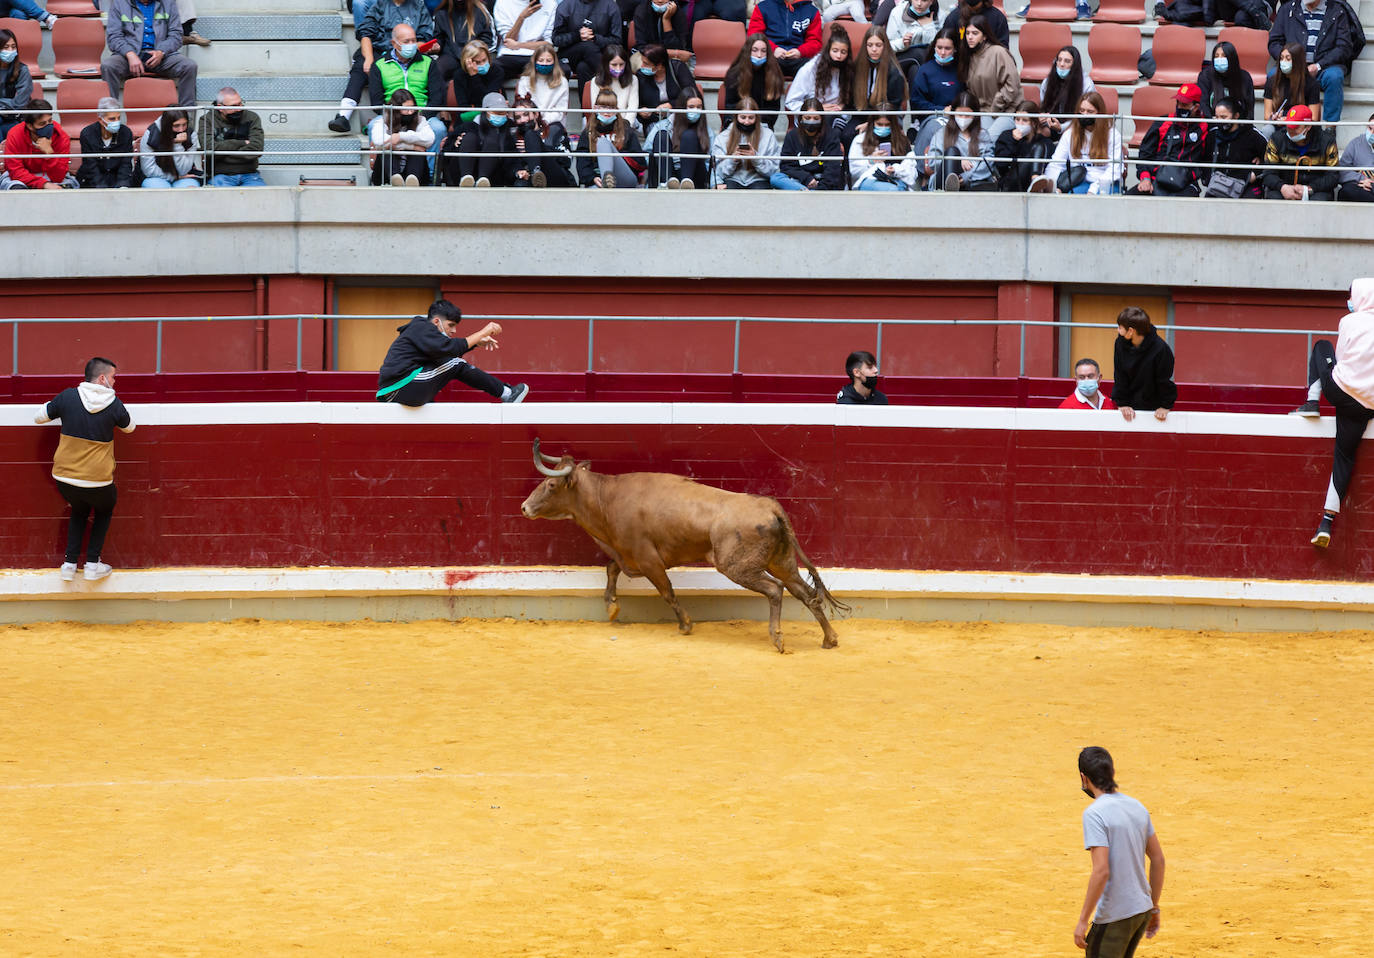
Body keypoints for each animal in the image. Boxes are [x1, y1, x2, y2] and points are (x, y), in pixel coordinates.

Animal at [519, 439, 846, 651]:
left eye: (550, 485)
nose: (524, 508)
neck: (606, 499)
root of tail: (770, 506)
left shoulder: (648, 559)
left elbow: (667, 592)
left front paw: (686, 624)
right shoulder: (629, 556)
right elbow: (611, 568)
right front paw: (612, 607)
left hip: (738, 567)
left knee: (776, 590)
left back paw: (777, 638)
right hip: (783, 563)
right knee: (806, 593)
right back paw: (829, 638)